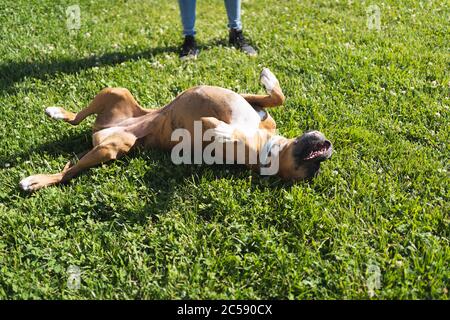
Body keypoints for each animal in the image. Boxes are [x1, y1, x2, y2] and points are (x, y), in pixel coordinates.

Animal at [19, 68, 332, 192]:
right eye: (316, 164)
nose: (328, 149)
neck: (267, 144)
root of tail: (103, 129)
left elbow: (221, 129)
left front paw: (221, 130)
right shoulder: (254, 104)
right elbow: (276, 97)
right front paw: (269, 78)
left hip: (109, 148)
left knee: (68, 172)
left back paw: (36, 180)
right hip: (115, 91)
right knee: (76, 120)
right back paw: (57, 112)